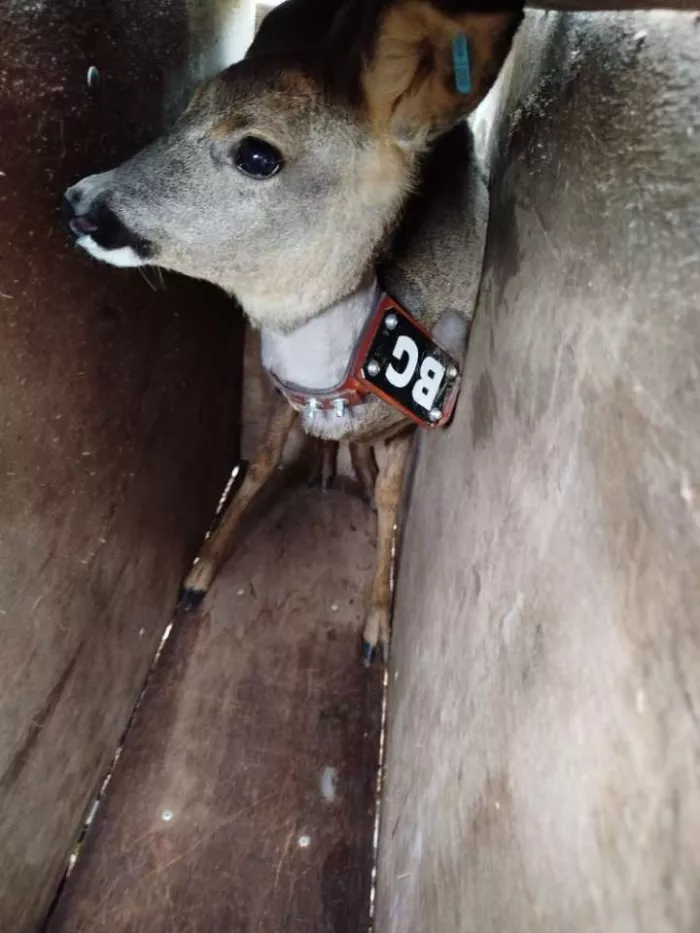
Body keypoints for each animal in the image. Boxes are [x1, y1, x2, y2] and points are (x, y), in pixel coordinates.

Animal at [62, 0, 523, 663]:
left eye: (258, 155)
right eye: (188, 107)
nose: (80, 200)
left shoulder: (413, 419)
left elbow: (390, 503)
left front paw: (377, 628)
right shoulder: (277, 385)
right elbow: (261, 463)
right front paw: (198, 575)